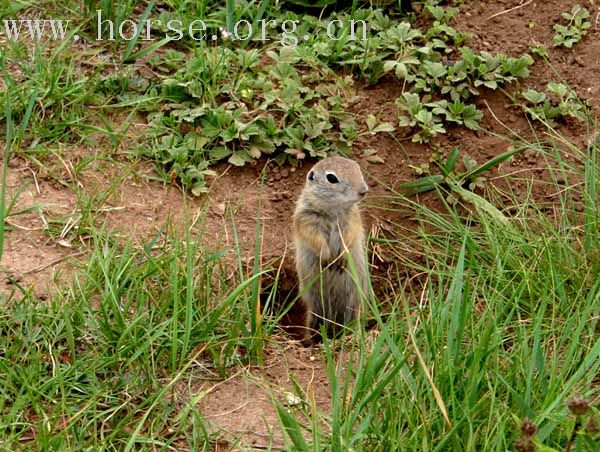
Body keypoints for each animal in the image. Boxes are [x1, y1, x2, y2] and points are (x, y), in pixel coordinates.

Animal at [292, 155, 368, 340]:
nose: (364, 191)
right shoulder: (307, 220)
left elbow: (350, 236)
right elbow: (315, 239)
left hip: (355, 299)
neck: (333, 209)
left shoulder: (352, 220)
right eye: (331, 178)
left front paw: (341, 258)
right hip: (313, 304)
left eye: (357, 168)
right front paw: (327, 257)